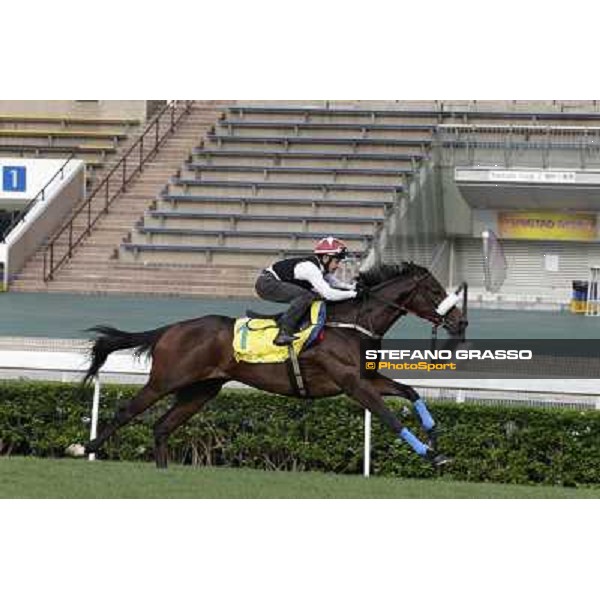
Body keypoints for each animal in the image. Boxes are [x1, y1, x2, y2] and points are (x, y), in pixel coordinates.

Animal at [79, 262, 466, 468]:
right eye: (435, 292)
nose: (460, 323)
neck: (352, 324)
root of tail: (170, 329)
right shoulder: (352, 384)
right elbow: (388, 416)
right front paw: (429, 454)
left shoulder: (367, 378)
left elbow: (410, 392)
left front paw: (435, 438)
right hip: (166, 380)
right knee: (127, 412)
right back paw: (85, 448)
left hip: (202, 390)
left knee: (161, 426)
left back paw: (163, 471)